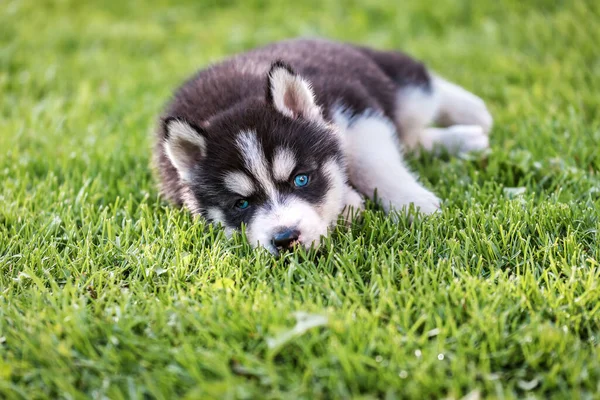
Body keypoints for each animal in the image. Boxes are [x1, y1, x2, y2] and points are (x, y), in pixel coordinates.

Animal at [155, 39, 492, 255]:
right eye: (241, 204)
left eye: (301, 179)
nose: (285, 239)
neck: (234, 101)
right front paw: (349, 203)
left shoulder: (355, 110)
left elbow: (372, 165)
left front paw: (414, 205)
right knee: (412, 139)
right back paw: (466, 139)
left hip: (394, 85)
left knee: (419, 83)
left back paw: (472, 111)